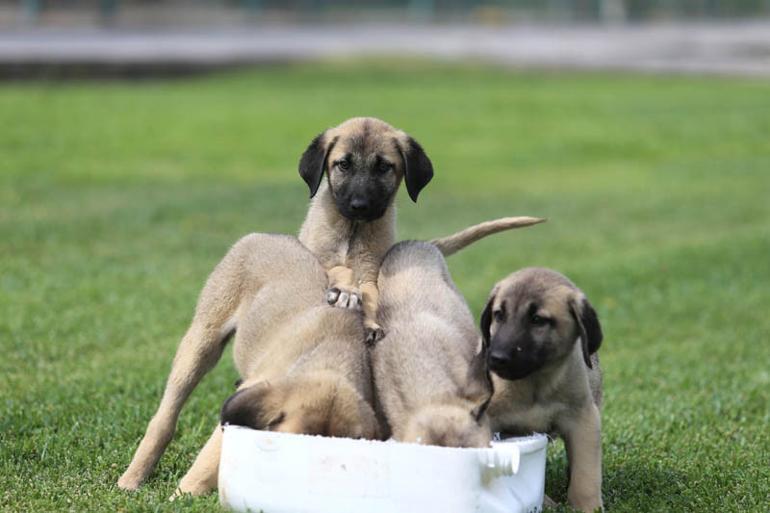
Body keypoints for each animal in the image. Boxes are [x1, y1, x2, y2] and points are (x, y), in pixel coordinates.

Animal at [484, 268, 604, 512]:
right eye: (499, 315)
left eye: (537, 320)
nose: (496, 358)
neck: (535, 384)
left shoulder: (583, 419)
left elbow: (585, 475)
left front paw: (587, 507)